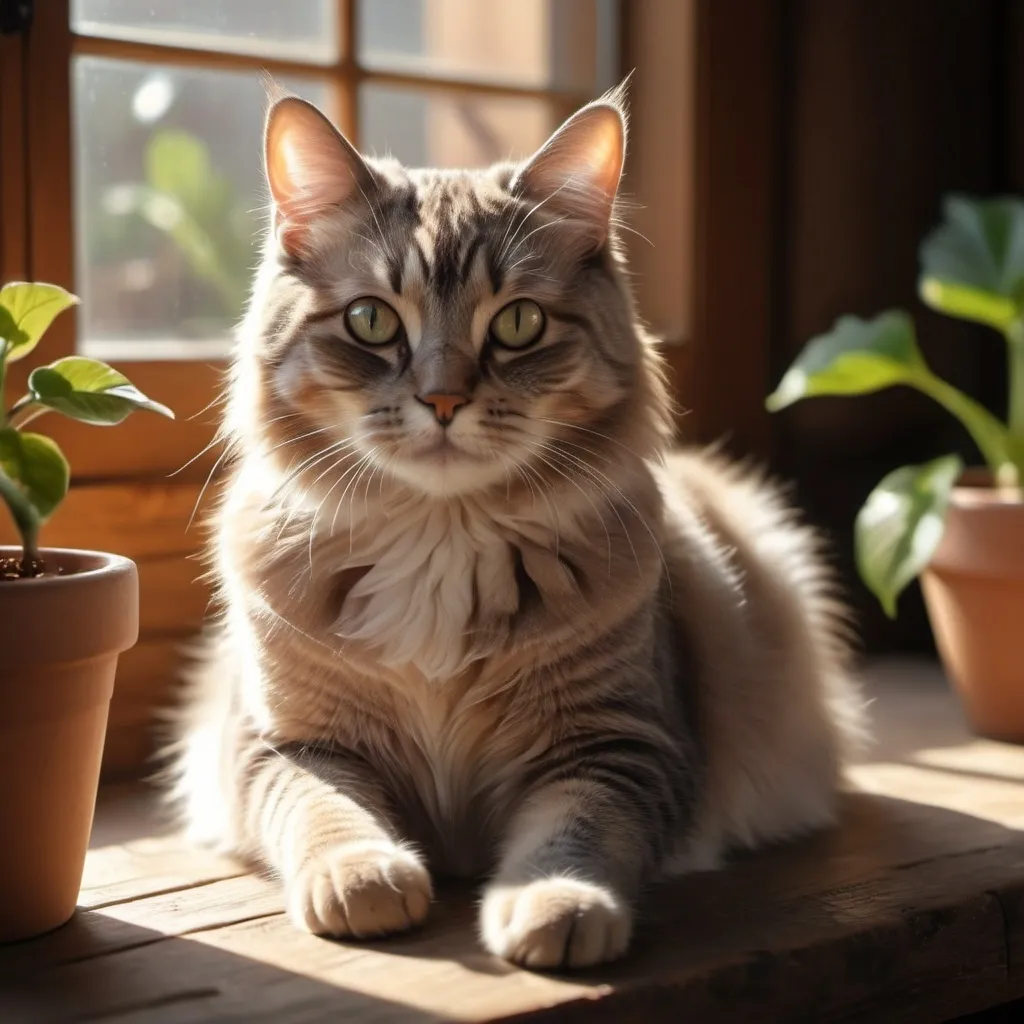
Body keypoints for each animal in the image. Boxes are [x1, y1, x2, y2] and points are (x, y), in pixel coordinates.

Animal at [169, 86, 864, 966]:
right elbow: (327, 812)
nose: (442, 400)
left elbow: (574, 835)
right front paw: (364, 879)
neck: (439, 539)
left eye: (519, 324)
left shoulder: (620, 745)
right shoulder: (284, 742)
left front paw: (555, 906)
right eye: (371, 321)